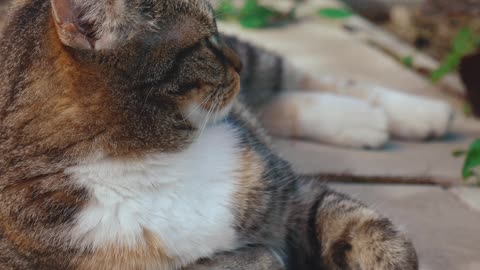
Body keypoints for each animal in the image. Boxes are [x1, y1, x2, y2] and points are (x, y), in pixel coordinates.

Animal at [0, 0, 418, 270]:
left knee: (289, 75)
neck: (152, 157)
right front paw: (262, 257)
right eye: (204, 41)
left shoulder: (291, 193)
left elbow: (368, 232)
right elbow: (238, 260)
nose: (237, 62)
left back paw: (409, 115)